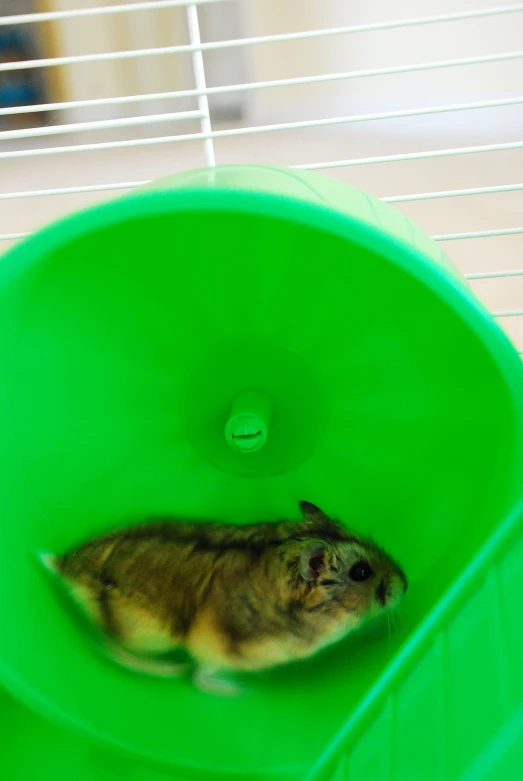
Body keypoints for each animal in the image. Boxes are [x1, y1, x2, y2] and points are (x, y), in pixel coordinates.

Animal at [41, 502, 410, 696]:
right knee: (110, 646)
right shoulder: (220, 646)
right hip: (147, 633)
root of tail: (65, 564)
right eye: (361, 572)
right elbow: (202, 676)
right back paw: (170, 670)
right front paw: (238, 690)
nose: (405, 584)